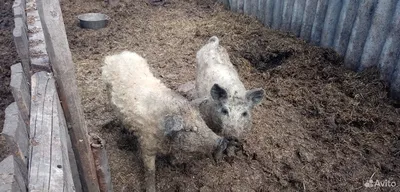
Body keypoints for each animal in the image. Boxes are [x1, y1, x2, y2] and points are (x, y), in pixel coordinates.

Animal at [101, 51, 230, 192]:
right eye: (189, 129)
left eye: (201, 121)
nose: (221, 140)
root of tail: (116, 55)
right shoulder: (147, 145)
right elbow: (150, 170)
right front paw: (151, 189)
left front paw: (172, 163)